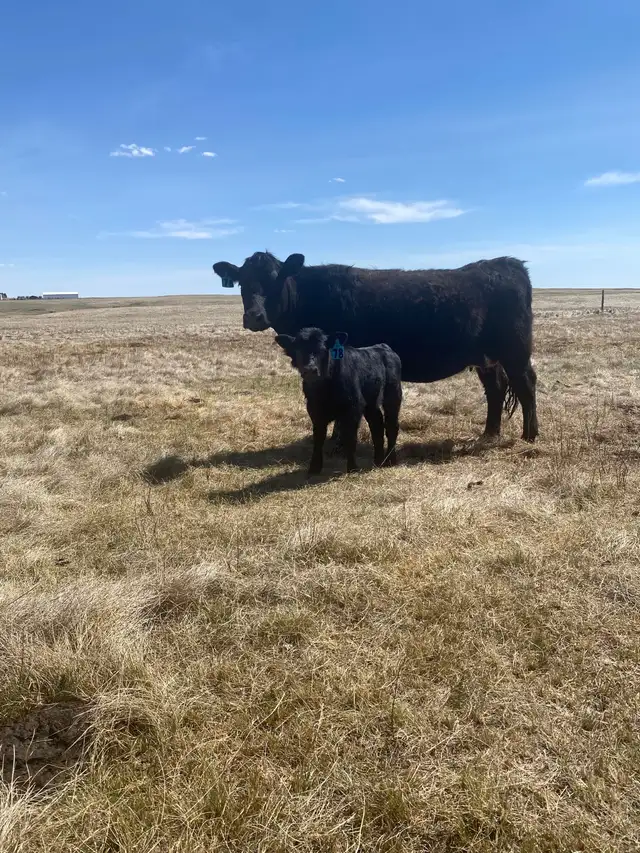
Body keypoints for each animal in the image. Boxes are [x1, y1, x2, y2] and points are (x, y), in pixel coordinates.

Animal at [213, 252, 538, 443]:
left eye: (275, 279)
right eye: (242, 281)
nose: (254, 316)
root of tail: (507, 263)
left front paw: (339, 440)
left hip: (516, 350)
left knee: (526, 384)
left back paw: (530, 435)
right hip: (487, 357)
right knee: (496, 389)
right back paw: (489, 435)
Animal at [275, 327, 402, 475]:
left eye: (323, 349)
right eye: (298, 349)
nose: (310, 370)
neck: (325, 388)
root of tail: (384, 347)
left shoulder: (353, 407)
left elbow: (350, 438)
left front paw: (352, 468)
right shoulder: (314, 410)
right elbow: (318, 438)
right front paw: (314, 468)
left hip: (393, 394)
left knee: (391, 425)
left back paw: (390, 460)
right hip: (371, 402)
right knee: (376, 423)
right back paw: (378, 460)